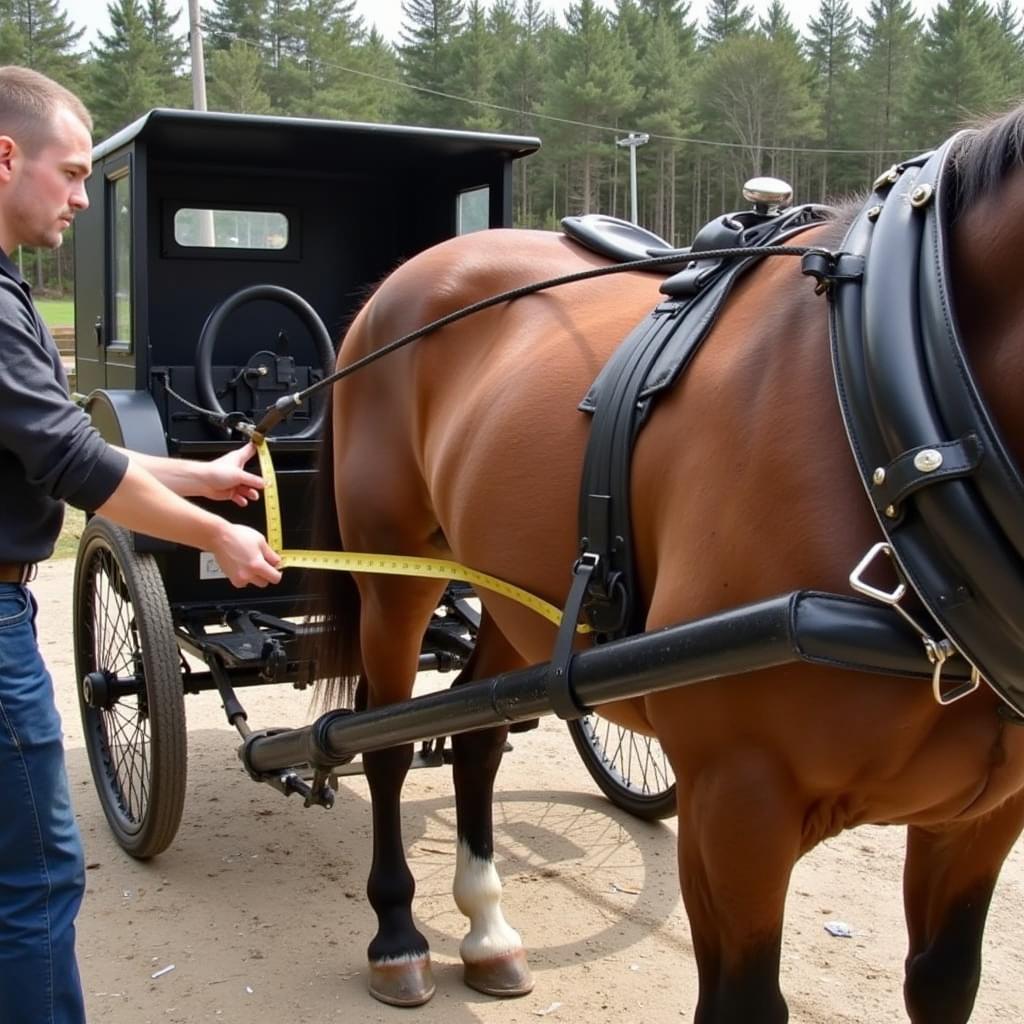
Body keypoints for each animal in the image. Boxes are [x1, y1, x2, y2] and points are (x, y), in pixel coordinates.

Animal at [315, 105, 1024, 1024]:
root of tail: (396, 287)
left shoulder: (982, 817)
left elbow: (942, 982)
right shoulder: (736, 805)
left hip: (519, 600)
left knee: (477, 731)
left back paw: (488, 930)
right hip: (396, 571)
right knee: (383, 738)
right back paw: (398, 936)